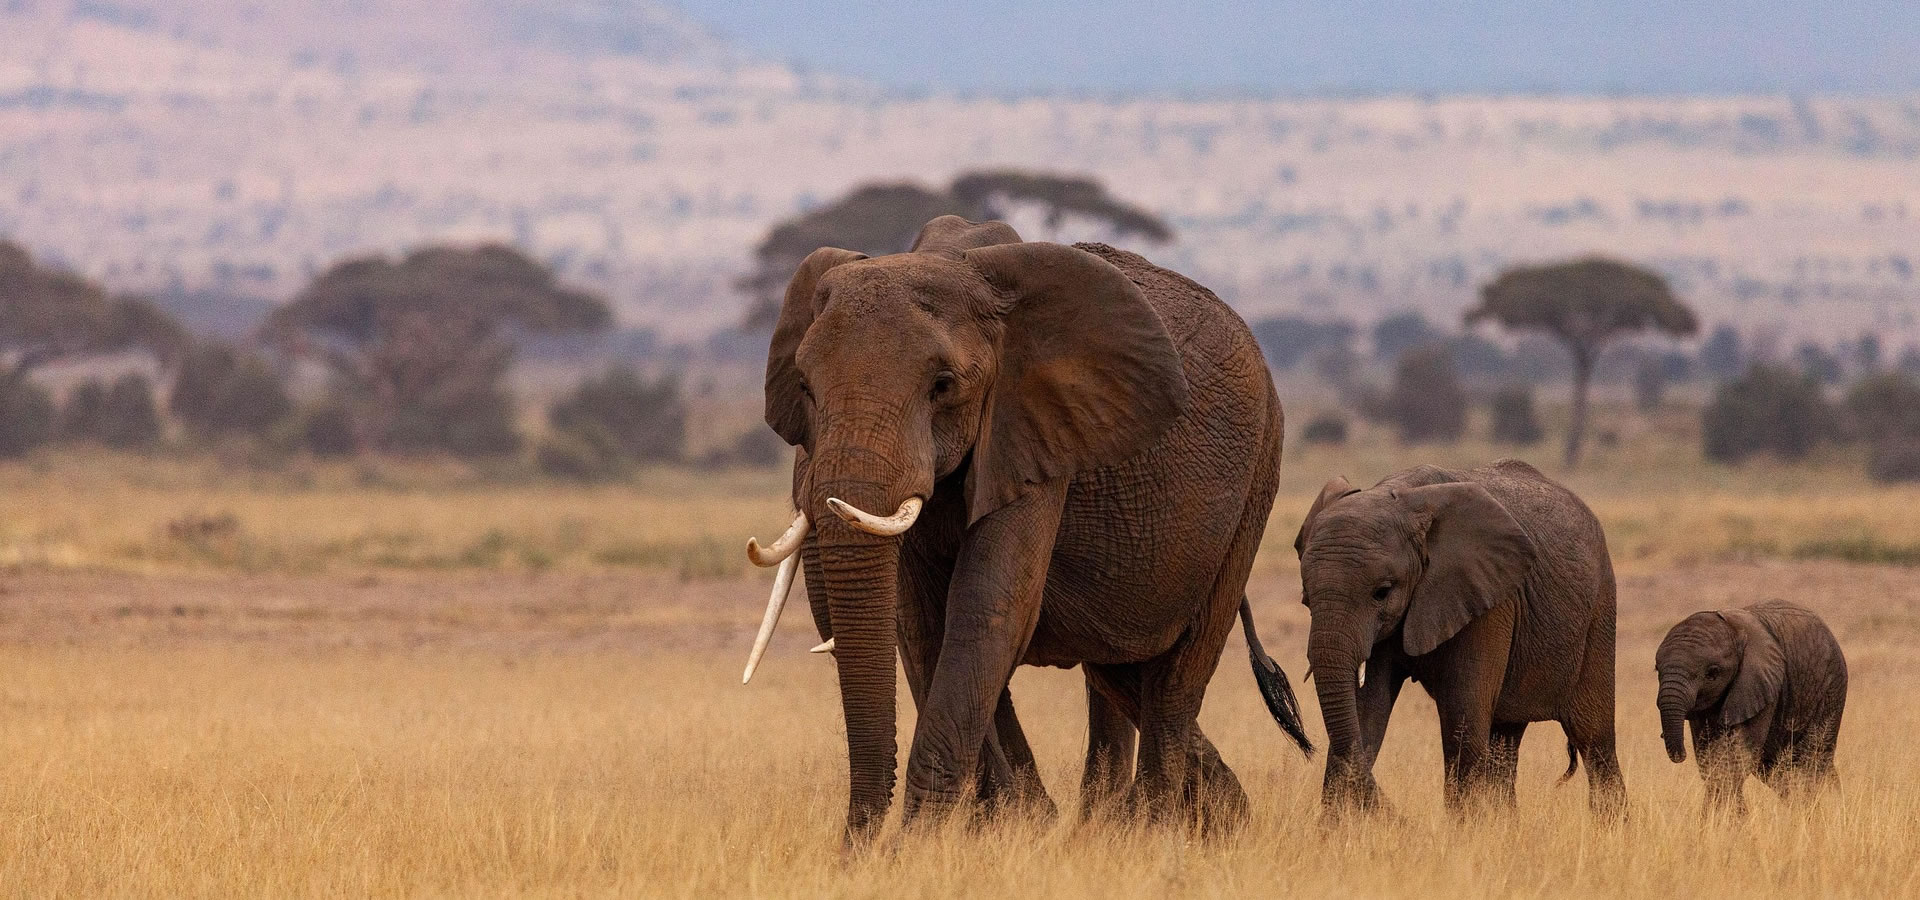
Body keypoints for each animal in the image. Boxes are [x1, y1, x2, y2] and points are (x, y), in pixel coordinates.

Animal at [737, 215, 1311, 846]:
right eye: (806, 388)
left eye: (943, 385)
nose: (853, 850)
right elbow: (922, 623)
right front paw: (1011, 827)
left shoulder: (1036, 432)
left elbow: (988, 608)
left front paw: (919, 845)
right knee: (1119, 669)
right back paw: (1197, 817)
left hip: (1258, 475)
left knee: (1177, 678)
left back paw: (1150, 831)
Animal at [1292, 459, 1625, 817]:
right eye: (1306, 598)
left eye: (1382, 592)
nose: (1403, 817)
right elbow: (1366, 712)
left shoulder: (1488, 598)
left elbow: (1461, 717)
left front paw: (1465, 828)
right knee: (1506, 738)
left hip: (1600, 610)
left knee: (1594, 737)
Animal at [1655, 599, 1847, 815]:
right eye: (1657, 670)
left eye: (1712, 673)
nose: (1680, 755)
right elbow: (1708, 758)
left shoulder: (1762, 683)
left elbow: (1735, 756)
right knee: (1780, 773)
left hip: (1831, 690)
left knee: (1811, 761)